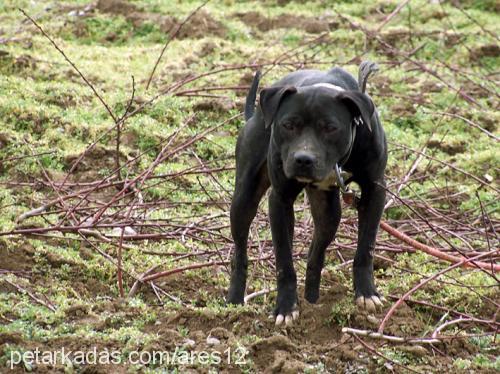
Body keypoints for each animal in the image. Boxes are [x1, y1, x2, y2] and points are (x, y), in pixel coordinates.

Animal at [227, 61, 386, 324]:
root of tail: (256, 114)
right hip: (244, 199)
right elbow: (284, 261)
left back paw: (313, 302)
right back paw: (235, 301)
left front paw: (366, 293)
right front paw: (285, 307)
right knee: (240, 252)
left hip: (328, 213)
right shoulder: (280, 200)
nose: (303, 159)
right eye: (288, 125)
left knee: (316, 253)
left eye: (330, 128)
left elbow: (366, 247)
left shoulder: (375, 191)